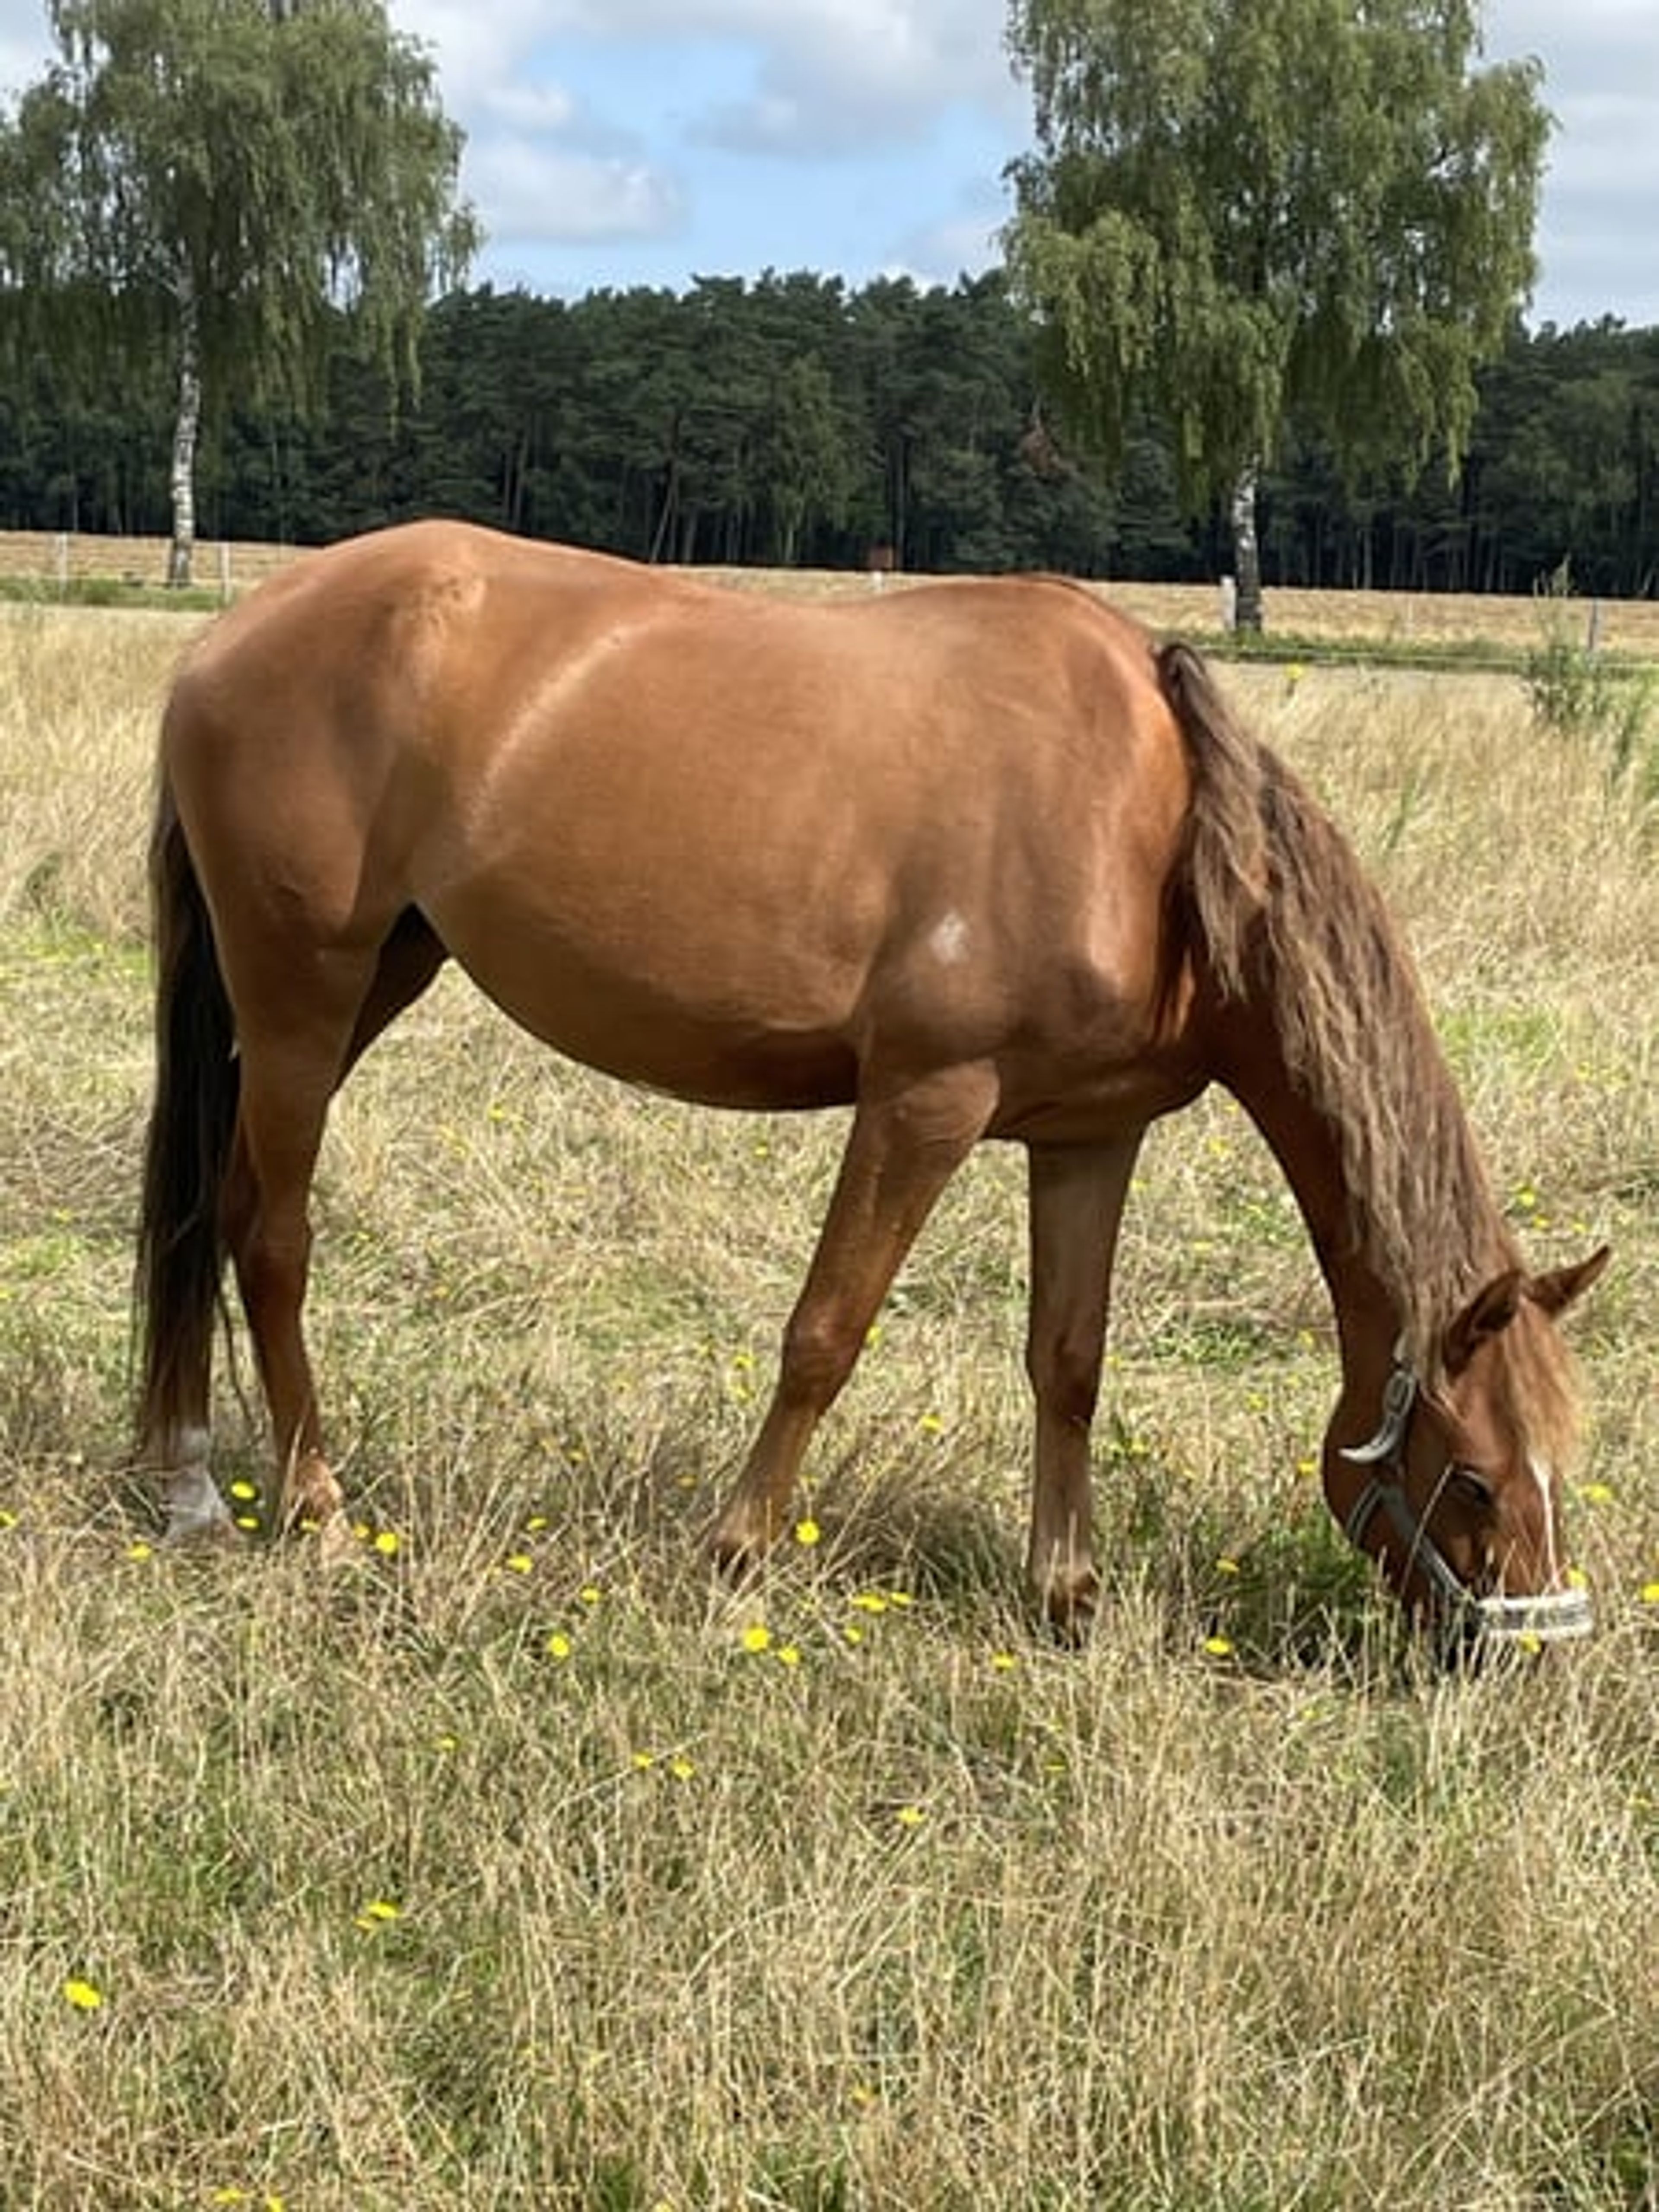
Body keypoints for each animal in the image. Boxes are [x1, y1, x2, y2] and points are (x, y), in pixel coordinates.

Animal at [135, 520, 1607, 1647]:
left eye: (1557, 1469)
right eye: (1477, 1479)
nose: (1525, 1651)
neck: (1152, 832)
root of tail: (230, 637)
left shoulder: (1090, 1135)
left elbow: (1068, 1358)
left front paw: (1065, 1594)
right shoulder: (924, 1102)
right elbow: (824, 1333)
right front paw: (733, 1550)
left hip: (375, 976)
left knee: (213, 1209)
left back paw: (190, 1480)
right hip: (302, 992)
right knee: (275, 1237)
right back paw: (317, 1505)